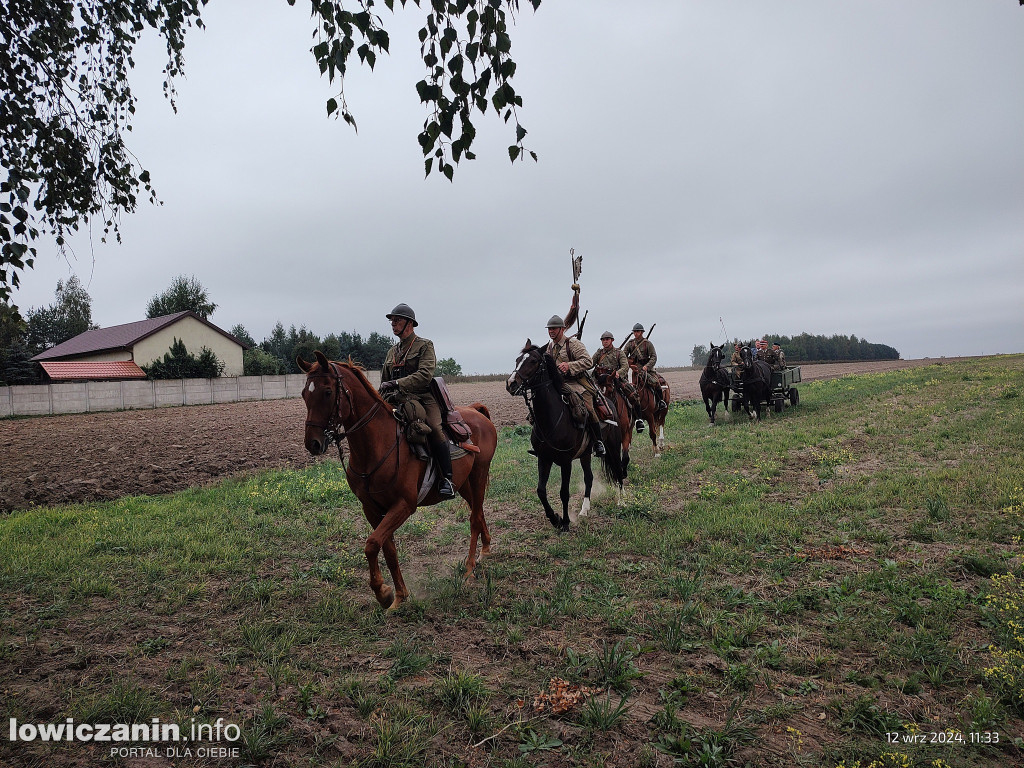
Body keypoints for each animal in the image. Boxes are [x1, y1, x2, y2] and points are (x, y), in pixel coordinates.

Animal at [296, 352, 495, 610]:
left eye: (328, 391)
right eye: (304, 393)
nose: (313, 443)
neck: (377, 446)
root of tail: (476, 411)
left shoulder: (403, 505)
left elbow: (372, 544)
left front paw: (383, 592)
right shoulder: (372, 509)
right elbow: (387, 549)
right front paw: (398, 595)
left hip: (479, 473)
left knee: (473, 518)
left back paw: (470, 568)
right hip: (464, 484)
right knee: (478, 513)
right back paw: (485, 550)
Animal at [505, 339, 622, 532]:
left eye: (533, 361)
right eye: (517, 360)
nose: (511, 383)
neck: (551, 419)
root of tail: (610, 403)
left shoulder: (566, 461)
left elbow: (564, 492)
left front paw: (565, 522)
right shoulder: (543, 458)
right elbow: (541, 490)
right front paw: (554, 518)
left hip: (613, 446)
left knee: (619, 471)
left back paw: (622, 500)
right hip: (585, 454)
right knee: (589, 478)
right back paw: (584, 510)